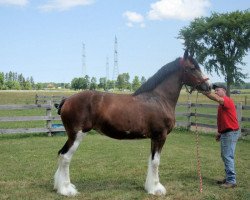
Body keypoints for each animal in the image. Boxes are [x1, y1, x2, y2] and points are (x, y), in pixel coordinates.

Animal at [53, 50, 211, 197]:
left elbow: (151, 160)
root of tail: (66, 100)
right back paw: (67, 190)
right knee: (65, 157)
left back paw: (61, 187)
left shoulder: (154, 138)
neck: (159, 99)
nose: (209, 86)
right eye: (192, 68)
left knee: (61, 154)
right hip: (76, 135)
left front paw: (149, 187)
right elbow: (156, 162)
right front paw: (157, 189)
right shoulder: (160, 136)